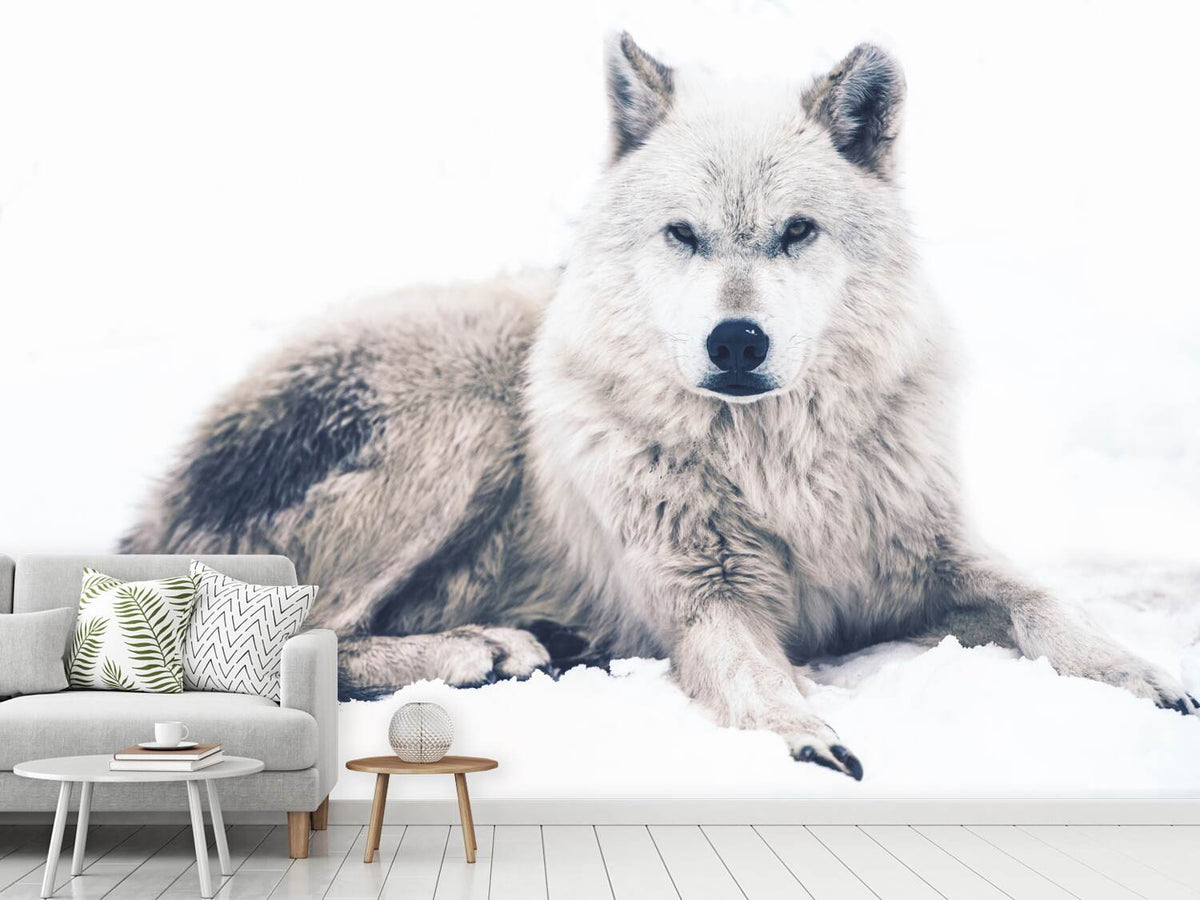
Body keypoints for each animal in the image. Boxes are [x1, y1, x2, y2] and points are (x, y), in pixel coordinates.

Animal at [122, 34, 1197, 779]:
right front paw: (804, 734)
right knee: (311, 639)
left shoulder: (927, 560)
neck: (780, 466)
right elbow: (756, 678)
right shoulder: (707, 598)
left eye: (796, 232)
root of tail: (145, 528)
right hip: (467, 413)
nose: (736, 342)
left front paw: (1149, 678)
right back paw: (489, 648)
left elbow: (1046, 605)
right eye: (682, 234)